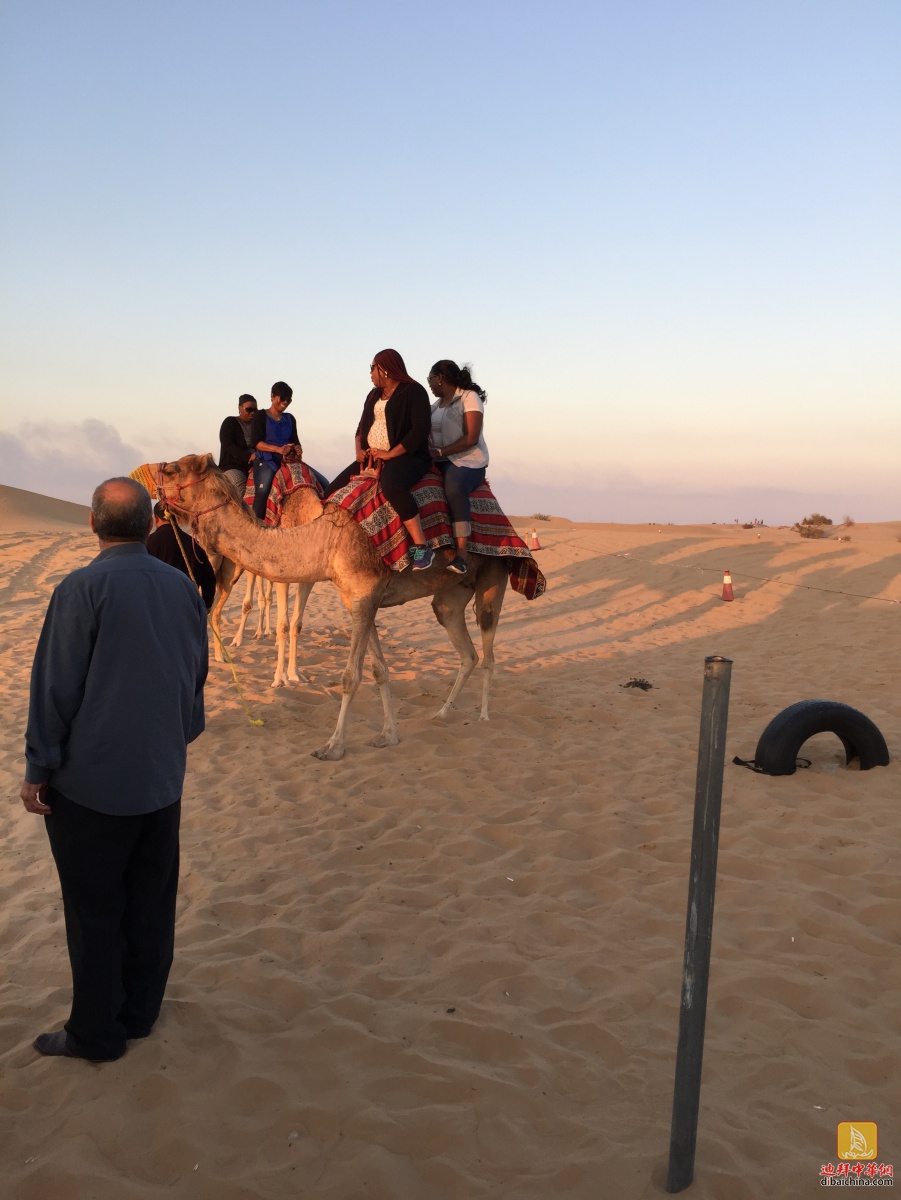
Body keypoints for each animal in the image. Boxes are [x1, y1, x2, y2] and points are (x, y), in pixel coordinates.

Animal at [153, 451, 508, 758]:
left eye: (172, 472)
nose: (155, 499)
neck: (325, 539)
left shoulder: (365, 592)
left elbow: (350, 676)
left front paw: (332, 746)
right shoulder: (359, 599)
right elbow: (380, 670)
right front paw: (388, 735)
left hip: (494, 575)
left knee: (488, 648)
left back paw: (484, 717)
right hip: (450, 597)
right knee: (466, 650)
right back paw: (443, 713)